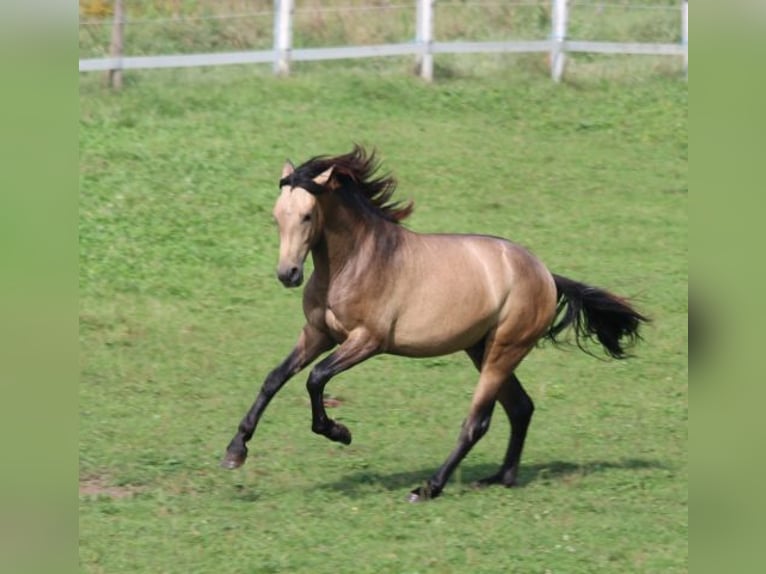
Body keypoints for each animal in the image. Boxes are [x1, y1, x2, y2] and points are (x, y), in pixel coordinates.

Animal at [220, 146, 648, 502]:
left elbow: (316, 378)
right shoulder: (318, 334)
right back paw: (500, 478)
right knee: (521, 407)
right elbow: (274, 378)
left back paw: (429, 487)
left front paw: (339, 432)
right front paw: (235, 452)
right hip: (481, 348)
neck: (356, 261)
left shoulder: (367, 340)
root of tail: (545, 276)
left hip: (503, 351)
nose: (288, 274)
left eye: (308, 215)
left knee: (478, 421)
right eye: (276, 217)